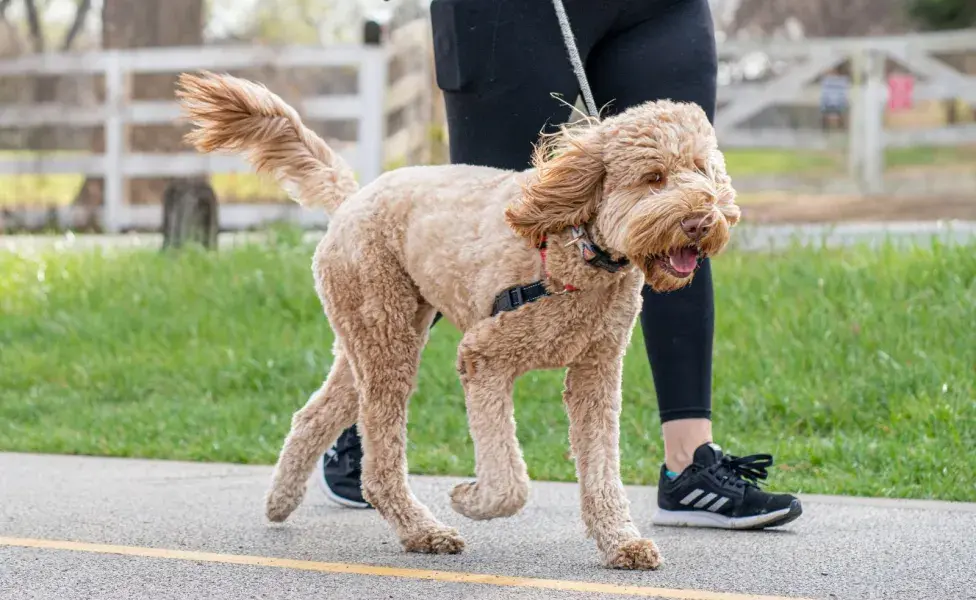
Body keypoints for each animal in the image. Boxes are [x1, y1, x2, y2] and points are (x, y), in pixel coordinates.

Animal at [177, 68, 740, 568]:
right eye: (654, 178)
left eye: (702, 170)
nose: (701, 220)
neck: (577, 248)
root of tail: (353, 198)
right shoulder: (483, 357)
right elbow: (509, 481)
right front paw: (471, 498)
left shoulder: (595, 374)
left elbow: (601, 469)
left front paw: (621, 542)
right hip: (387, 338)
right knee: (380, 462)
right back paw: (422, 531)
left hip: (375, 336)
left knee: (313, 415)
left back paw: (281, 501)